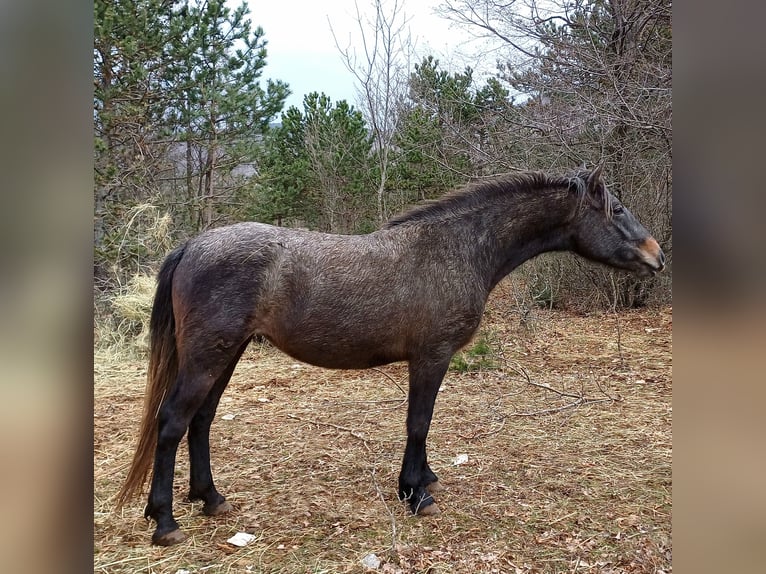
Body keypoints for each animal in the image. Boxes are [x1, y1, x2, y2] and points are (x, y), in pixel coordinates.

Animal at [114, 165, 664, 544]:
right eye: (616, 210)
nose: (657, 256)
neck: (456, 248)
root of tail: (194, 245)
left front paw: (424, 480)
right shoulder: (431, 357)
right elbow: (418, 422)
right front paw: (416, 493)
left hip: (225, 356)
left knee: (201, 421)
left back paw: (210, 498)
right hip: (208, 357)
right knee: (172, 422)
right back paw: (164, 521)